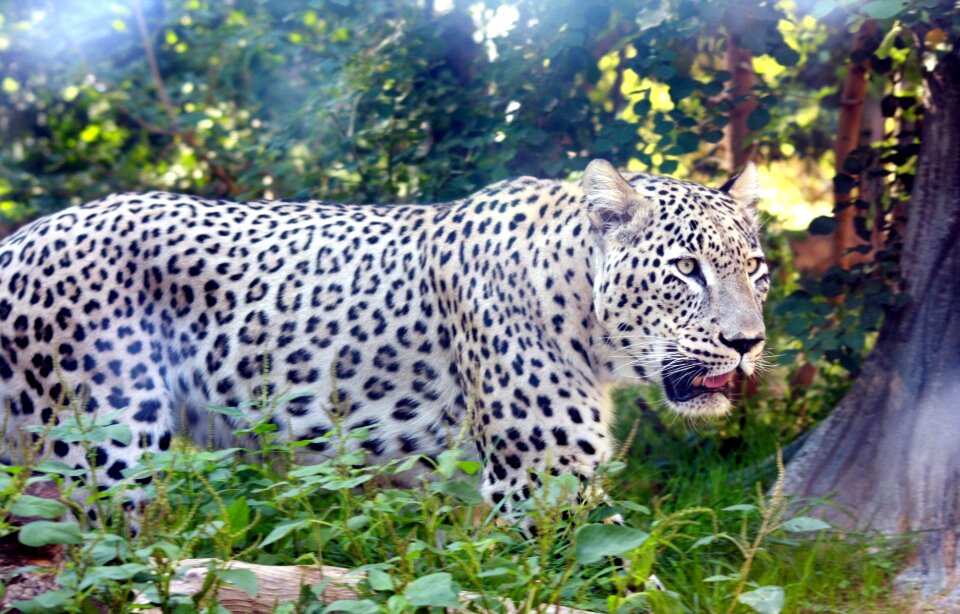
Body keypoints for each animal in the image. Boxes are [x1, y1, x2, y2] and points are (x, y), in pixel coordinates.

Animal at [0, 159, 768, 520]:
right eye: (686, 269)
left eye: (755, 268)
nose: (748, 343)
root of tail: (21, 237)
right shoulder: (541, 481)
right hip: (104, 455)